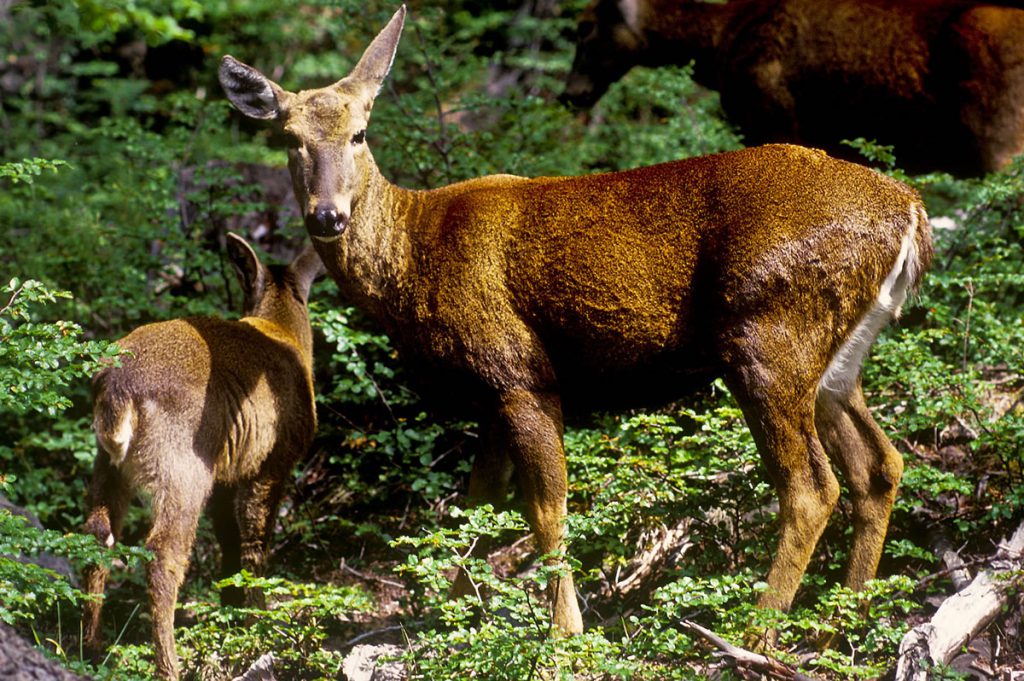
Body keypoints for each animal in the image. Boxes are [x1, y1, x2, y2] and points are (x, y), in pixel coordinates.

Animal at [81, 233, 324, 680]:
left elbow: (228, 540)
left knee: (98, 533)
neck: (283, 331)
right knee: (163, 556)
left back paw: (89, 648)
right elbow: (254, 541)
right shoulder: (274, 459)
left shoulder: (228, 471)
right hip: (183, 464)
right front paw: (257, 622)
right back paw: (169, 666)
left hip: (109, 462)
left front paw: (232, 614)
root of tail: (117, 386)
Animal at [219, 5, 933, 637]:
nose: (327, 215)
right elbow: (479, 505)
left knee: (812, 486)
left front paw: (565, 632)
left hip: (768, 335)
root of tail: (909, 214)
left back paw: (758, 632)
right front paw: (450, 617)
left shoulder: (517, 368)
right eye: (289, 139)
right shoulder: (489, 394)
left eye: (359, 133)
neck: (416, 256)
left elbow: (546, 508)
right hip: (835, 360)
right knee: (880, 466)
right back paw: (838, 624)